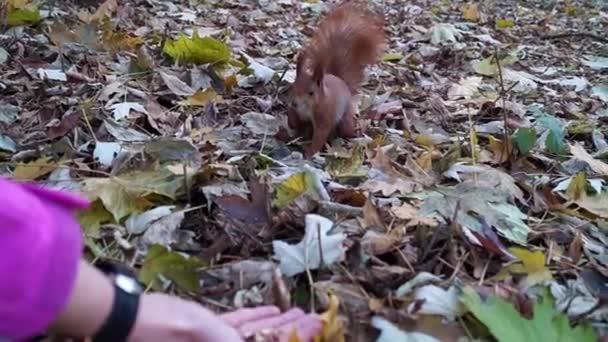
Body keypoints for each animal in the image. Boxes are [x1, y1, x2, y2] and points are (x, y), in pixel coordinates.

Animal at [288, 1, 384, 159]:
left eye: (311, 93)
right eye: (292, 88)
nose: (295, 103)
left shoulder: (325, 116)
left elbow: (320, 136)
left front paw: (310, 153)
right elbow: (293, 118)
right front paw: (292, 123)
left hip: (345, 119)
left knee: (346, 130)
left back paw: (355, 134)